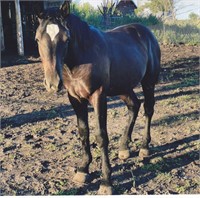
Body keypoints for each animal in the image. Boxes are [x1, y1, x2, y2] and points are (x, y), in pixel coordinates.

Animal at [35, 0, 161, 194]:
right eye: (37, 39)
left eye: (66, 39)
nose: (53, 83)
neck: (81, 56)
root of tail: (146, 32)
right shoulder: (75, 99)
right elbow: (83, 132)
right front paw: (83, 170)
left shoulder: (98, 97)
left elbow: (101, 136)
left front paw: (106, 182)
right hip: (123, 87)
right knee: (134, 105)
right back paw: (124, 148)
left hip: (148, 83)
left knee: (148, 109)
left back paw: (144, 147)